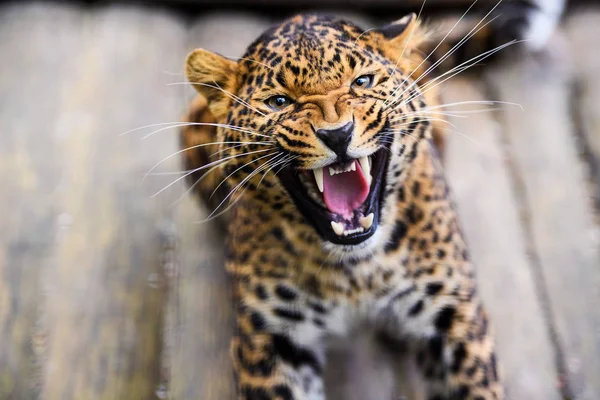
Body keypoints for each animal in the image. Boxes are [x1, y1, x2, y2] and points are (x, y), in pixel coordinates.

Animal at [175, 9, 528, 400]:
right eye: (279, 102)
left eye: (362, 81)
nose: (337, 134)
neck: (357, 271)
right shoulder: (271, 338)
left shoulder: (454, 314)